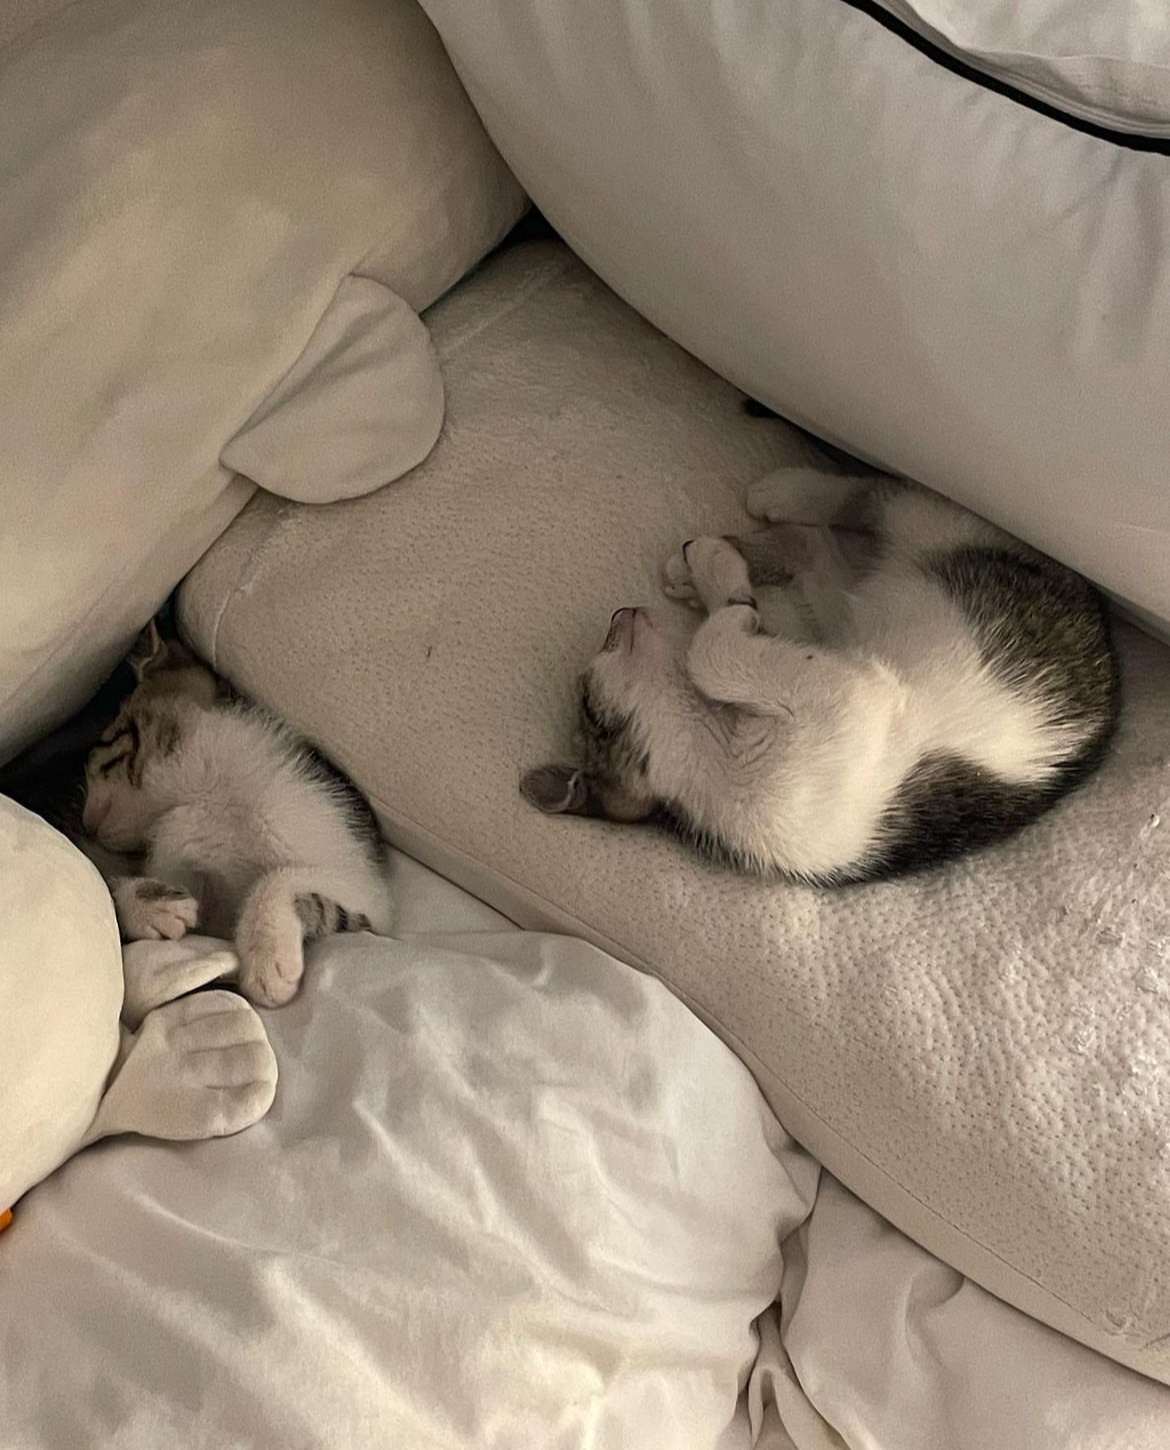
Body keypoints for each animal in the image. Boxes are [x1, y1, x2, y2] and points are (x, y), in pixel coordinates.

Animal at [80, 622, 393, 1006]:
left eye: (101, 745)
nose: (85, 822)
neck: (206, 793)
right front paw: (143, 902)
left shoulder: (369, 894)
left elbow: (284, 878)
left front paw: (267, 956)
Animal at [521, 467, 1119, 885]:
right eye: (587, 703)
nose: (617, 616)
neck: (718, 749)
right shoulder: (849, 694)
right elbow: (711, 649)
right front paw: (728, 592)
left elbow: (709, 649)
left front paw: (719, 586)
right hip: (857, 596)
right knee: (840, 529)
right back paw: (746, 536)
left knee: (873, 501)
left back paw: (748, 524)